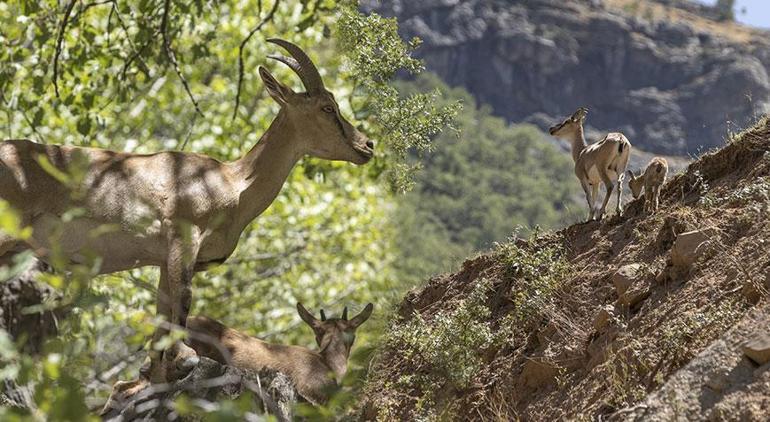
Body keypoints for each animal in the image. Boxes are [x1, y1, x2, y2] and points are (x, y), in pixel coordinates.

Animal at [0, 40, 376, 382]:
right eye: (327, 107)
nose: (367, 145)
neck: (231, 183)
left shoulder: (162, 260)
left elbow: (163, 313)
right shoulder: (185, 237)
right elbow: (184, 299)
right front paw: (185, 359)